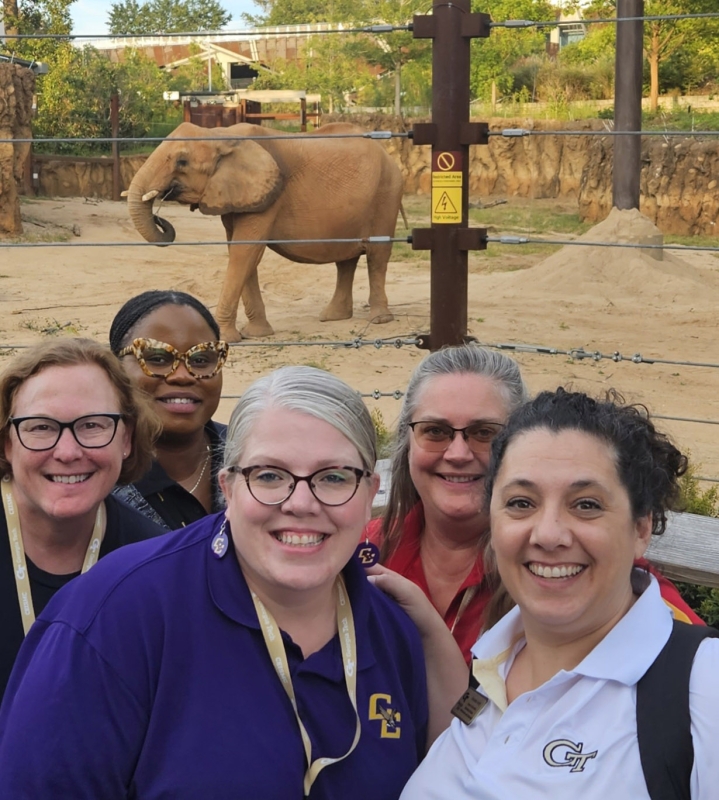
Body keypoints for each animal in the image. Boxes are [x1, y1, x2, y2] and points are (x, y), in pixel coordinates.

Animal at [125, 122, 404, 340]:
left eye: (182, 162)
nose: (160, 215)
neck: (220, 134)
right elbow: (241, 252)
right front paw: (256, 334)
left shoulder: (270, 195)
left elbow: (245, 252)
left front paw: (226, 338)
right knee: (345, 260)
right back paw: (333, 317)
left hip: (386, 194)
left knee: (377, 256)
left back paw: (379, 319)